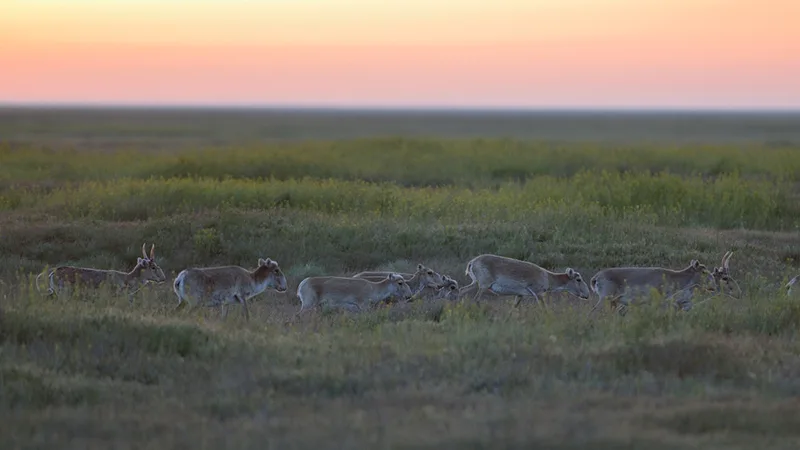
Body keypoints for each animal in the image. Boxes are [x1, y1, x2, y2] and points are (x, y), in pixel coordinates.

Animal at [458, 254, 591, 307]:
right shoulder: (538, 294)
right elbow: (544, 308)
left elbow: (513, 308)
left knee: (461, 291)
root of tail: (472, 262)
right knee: (476, 299)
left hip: (475, 284)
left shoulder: (519, 295)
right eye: (578, 279)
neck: (548, 277)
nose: (588, 294)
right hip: (483, 286)